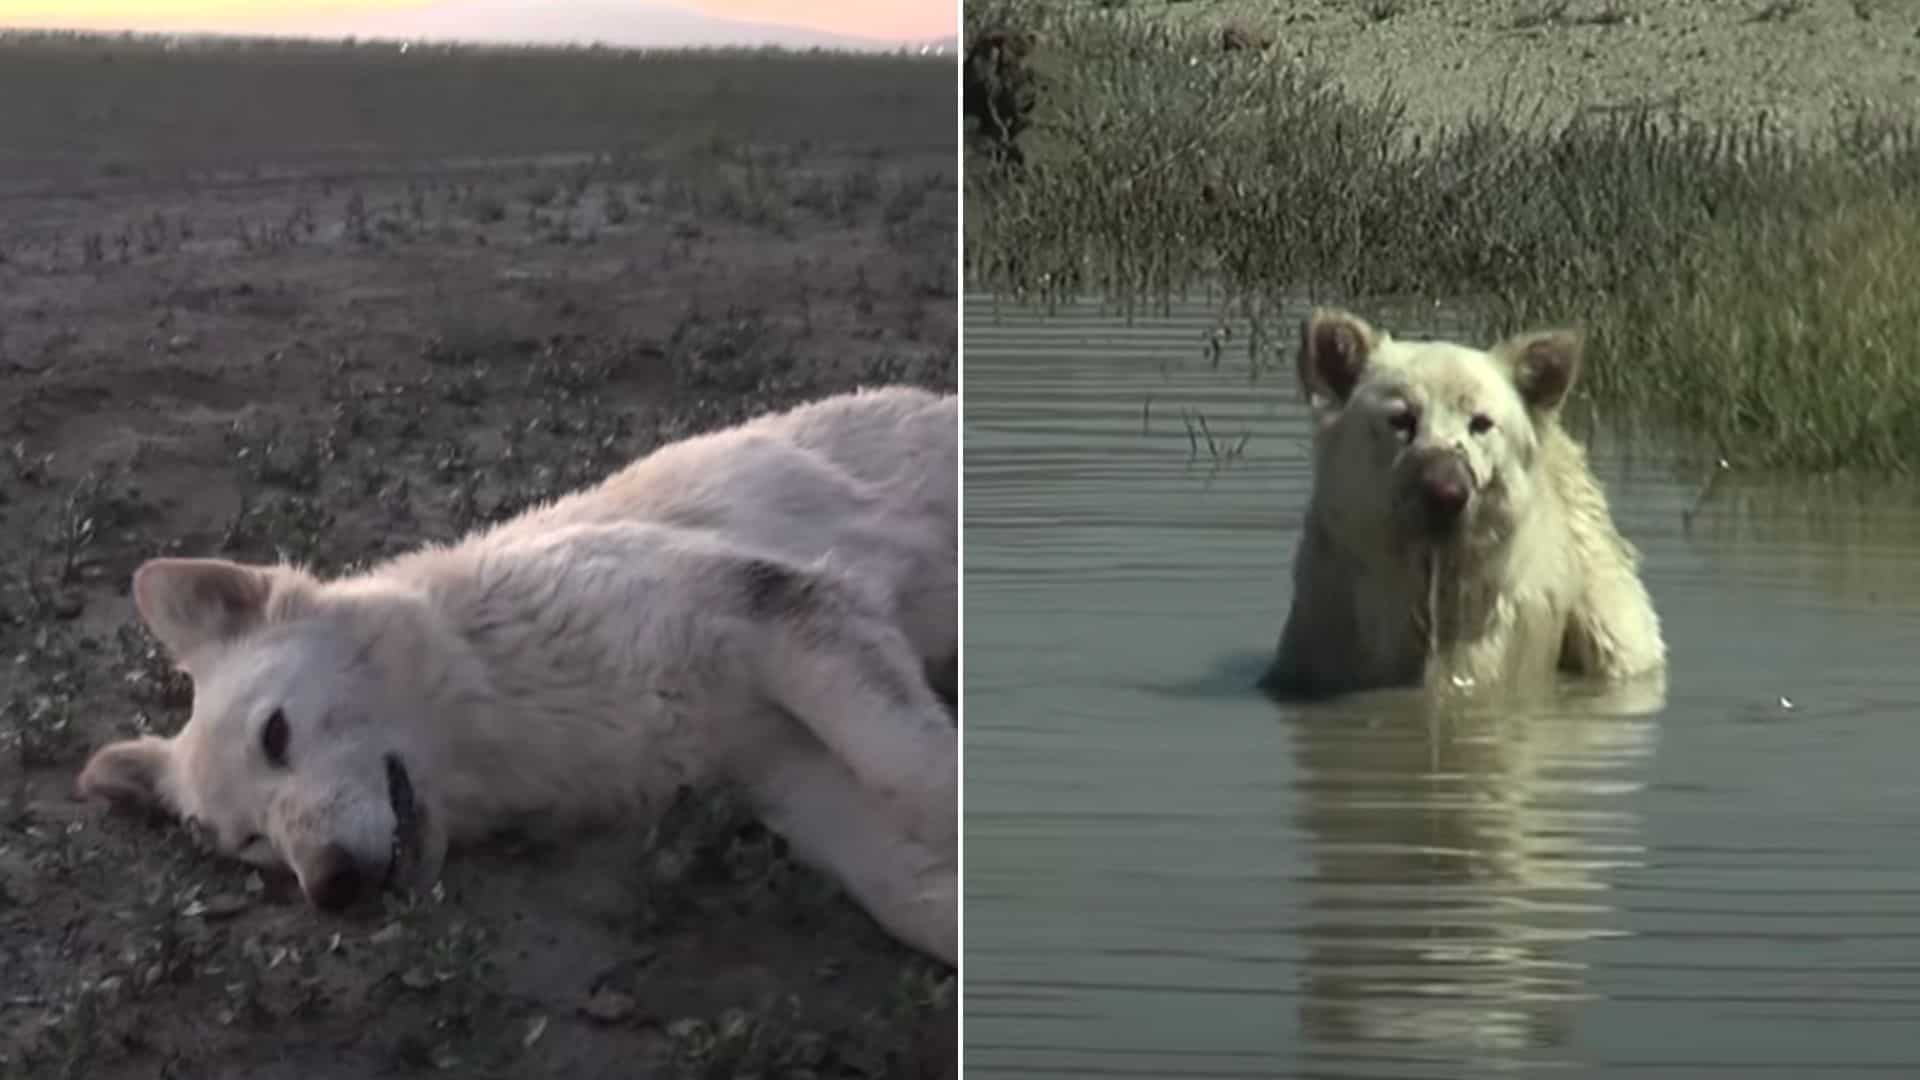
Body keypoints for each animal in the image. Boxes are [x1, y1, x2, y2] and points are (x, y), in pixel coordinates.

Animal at [74, 382, 960, 960]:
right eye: (251, 844)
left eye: (276, 734)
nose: (333, 889)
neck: (504, 681)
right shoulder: (780, 768)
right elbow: (906, 889)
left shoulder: (782, 611)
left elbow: (921, 780)